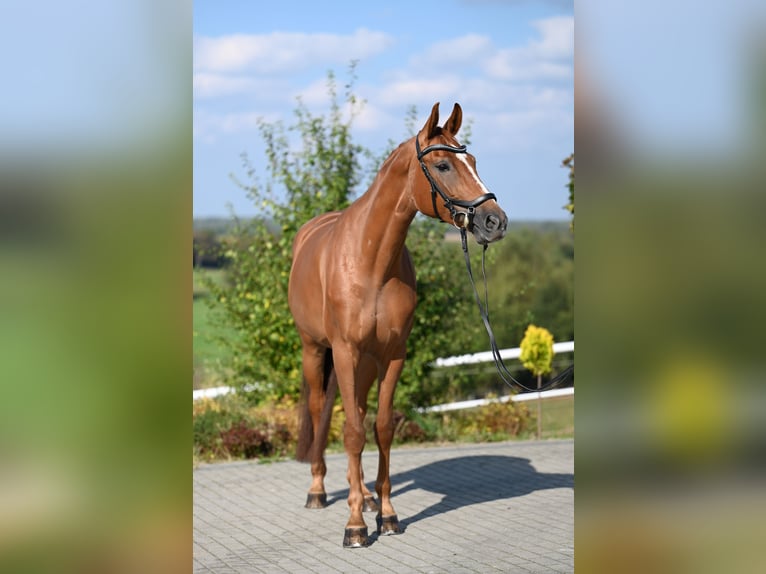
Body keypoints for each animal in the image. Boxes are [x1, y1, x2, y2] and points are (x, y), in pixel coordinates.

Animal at [288, 102, 510, 548]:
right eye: (442, 165)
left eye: (474, 161)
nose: (495, 221)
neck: (371, 260)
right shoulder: (345, 351)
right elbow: (352, 433)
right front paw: (355, 526)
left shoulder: (392, 355)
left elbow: (381, 429)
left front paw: (386, 515)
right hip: (315, 349)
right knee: (322, 412)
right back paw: (318, 490)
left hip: (364, 364)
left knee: (357, 411)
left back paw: (365, 493)